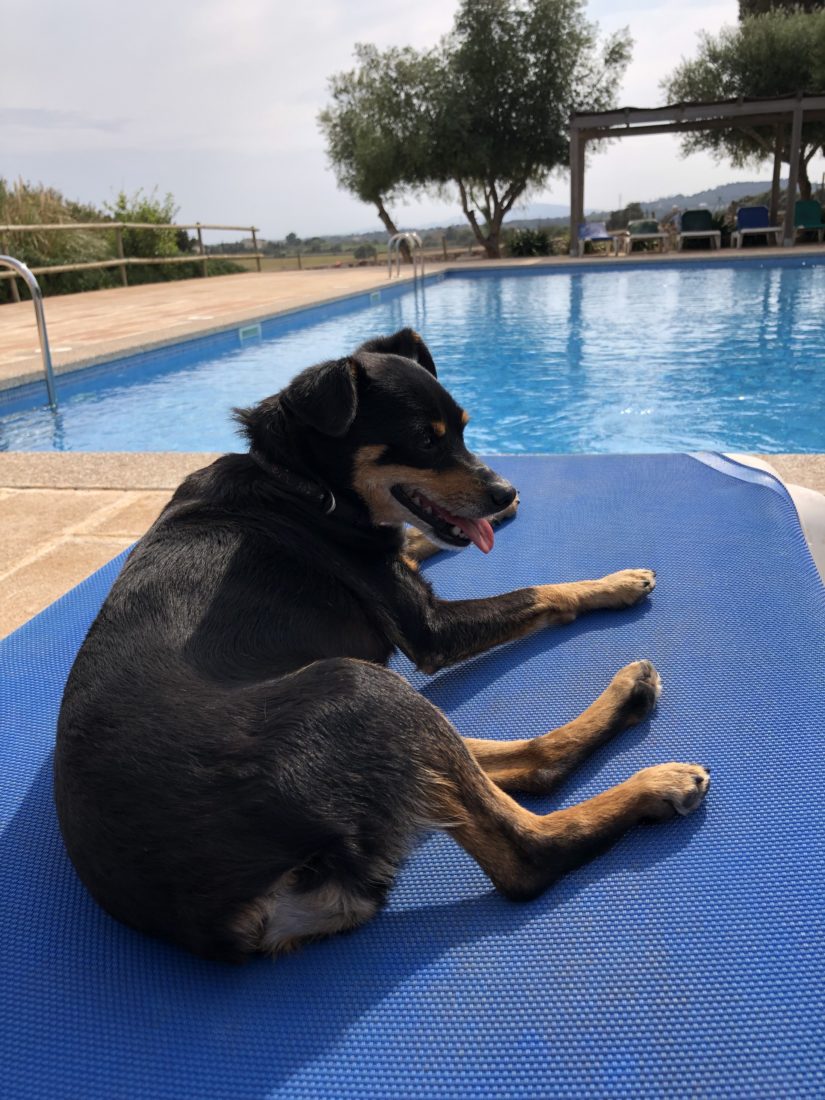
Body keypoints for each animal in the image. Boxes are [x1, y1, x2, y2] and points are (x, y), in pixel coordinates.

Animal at [53, 327, 712, 963]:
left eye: (465, 428)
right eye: (424, 440)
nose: (503, 491)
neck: (301, 485)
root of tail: (232, 924)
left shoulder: (395, 551)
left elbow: (423, 538)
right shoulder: (428, 629)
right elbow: (539, 592)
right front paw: (611, 584)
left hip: (383, 716)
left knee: (515, 764)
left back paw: (629, 696)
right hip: (358, 684)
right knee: (529, 848)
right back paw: (656, 785)